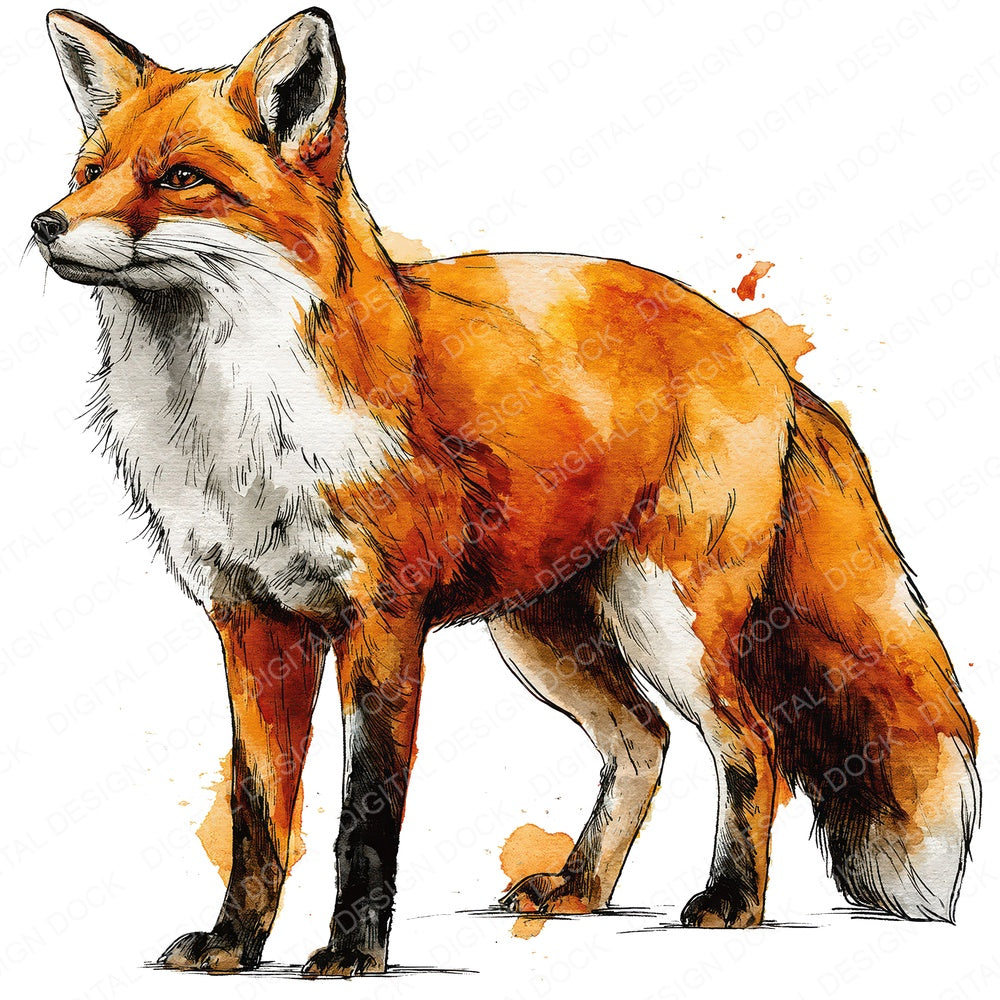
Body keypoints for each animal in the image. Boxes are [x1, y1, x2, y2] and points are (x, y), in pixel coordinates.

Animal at [34, 6, 979, 978]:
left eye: (182, 179)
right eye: (89, 173)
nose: (43, 223)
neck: (236, 425)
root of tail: (760, 349)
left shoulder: (384, 620)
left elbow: (364, 813)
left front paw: (351, 953)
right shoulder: (251, 623)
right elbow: (259, 812)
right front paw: (234, 944)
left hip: (668, 619)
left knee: (752, 743)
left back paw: (732, 902)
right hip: (543, 633)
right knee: (645, 739)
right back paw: (581, 888)